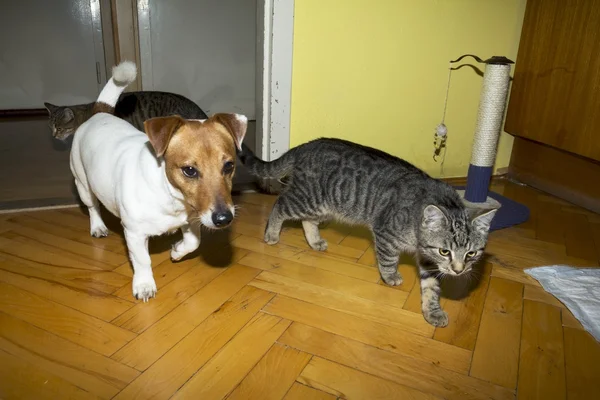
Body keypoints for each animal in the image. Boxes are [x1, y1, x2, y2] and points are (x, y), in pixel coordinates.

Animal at [71, 61, 246, 300]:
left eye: (229, 166)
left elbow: (194, 242)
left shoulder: (192, 221)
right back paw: (98, 226)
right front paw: (144, 284)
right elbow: (142, 260)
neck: (169, 195)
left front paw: (177, 251)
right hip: (82, 184)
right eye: (189, 170)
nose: (223, 219)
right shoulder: (134, 233)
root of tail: (99, 113)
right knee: (92, 207)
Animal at [239, 139, 496, 326]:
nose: (458, 270)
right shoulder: (385, 233)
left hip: (321, 207)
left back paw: (314, 241)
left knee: (307, 221)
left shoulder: (428, 261)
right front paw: (390, 276)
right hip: (309, 199)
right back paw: (272, 233)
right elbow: (388, 260)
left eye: (471, 254)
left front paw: (433, 311)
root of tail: (306, 145)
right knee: (280, 205)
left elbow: (431, 289)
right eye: (445, 251)